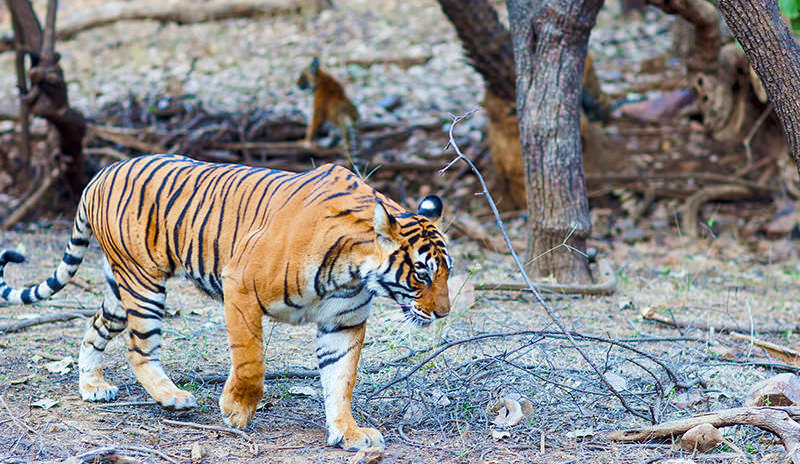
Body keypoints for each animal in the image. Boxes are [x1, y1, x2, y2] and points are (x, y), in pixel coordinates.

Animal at [0, 154, 452, 451]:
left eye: (446, 271)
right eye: (422, 273)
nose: (443, 312)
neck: (354, 271)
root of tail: (100, 174)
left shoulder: (343, 323)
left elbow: (341, 380)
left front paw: (349, 433)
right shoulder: (241, 288)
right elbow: (251, 361)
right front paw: (237, 411)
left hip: (120, 284)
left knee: (94, 328)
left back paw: (93, 386)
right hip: (144, 283)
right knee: (139, 348)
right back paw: (172, 397)